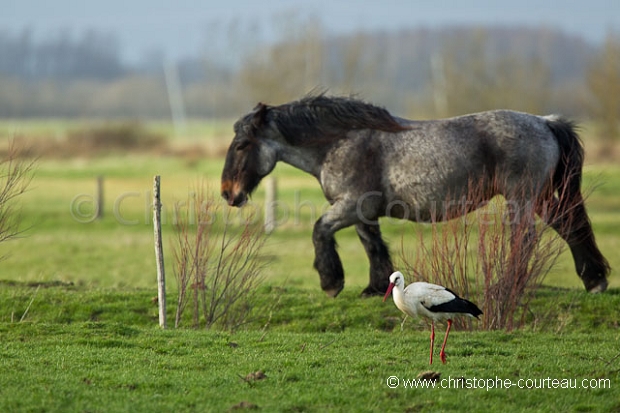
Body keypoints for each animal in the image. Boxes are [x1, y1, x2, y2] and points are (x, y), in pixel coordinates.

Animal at [220, 94, 608, 296]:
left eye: (241, 145)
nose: (228, 193)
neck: (340, 142)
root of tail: (545, 122)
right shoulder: (362, 212)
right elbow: (373, 246)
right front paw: (375, 288)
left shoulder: (347, 206)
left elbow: (320, 231)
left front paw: (331, 282)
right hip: (540, 199)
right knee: (568, 224)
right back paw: (594, 280)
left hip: (521, 199)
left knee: (524, 239)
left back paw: (505, 285)